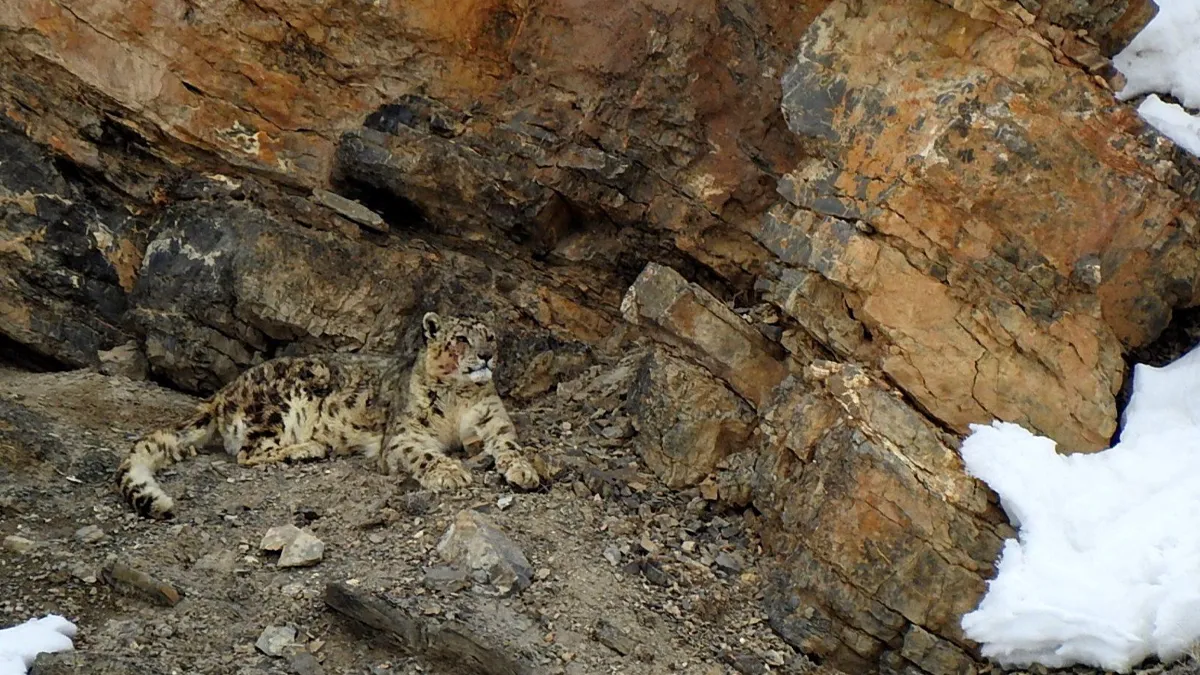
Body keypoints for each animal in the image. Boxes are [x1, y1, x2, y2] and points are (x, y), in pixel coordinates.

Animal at [116, 312, 540, 519]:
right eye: (462, 339)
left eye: (491, 336)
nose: (486, 355)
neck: (459, 400)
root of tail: (223, 392)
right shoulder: (404, 436)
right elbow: (423, 454)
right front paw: (451, 473)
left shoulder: (493, 422)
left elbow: (509, 445)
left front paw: (524, 471)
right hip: (283, 402)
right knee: (248, 452)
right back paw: (309, 448)